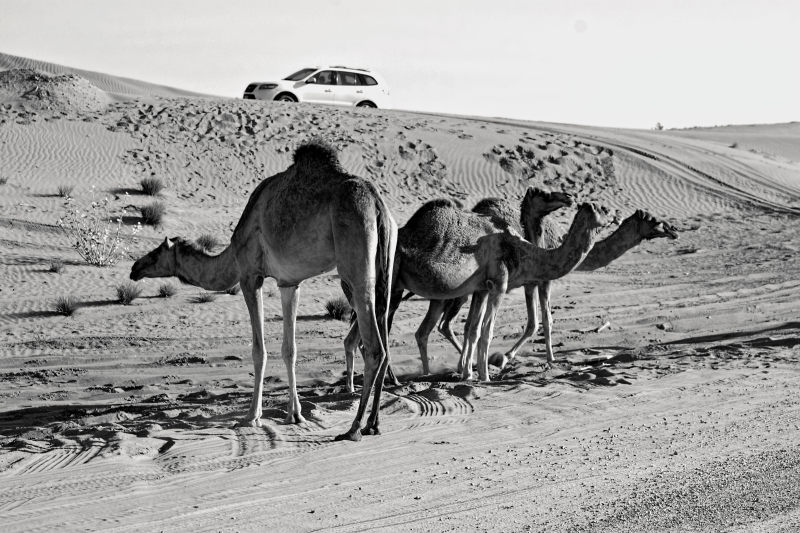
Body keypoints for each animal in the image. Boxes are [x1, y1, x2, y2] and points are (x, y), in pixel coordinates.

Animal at [129, 141, 400, 440]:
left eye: (155, 253)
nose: (134, 268)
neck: (232, 255)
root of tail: (376, 203)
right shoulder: (289, 283)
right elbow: (289, 349)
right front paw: (295, 415)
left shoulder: (250, 277)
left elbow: (259, 351)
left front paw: (252, 416)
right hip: (386, 265)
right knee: (385, 340)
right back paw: (374, 423)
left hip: (355, 262)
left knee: (374, 347)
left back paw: (354, 428)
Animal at [340, 189, 572, 388]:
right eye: (544, 194)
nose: (568, 197)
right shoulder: (521, 283)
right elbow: (535, 322)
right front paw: (496, 361)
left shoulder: (484, 288)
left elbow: (472, 327)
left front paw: (471, 367)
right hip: (400, 288)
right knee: (404, 330)